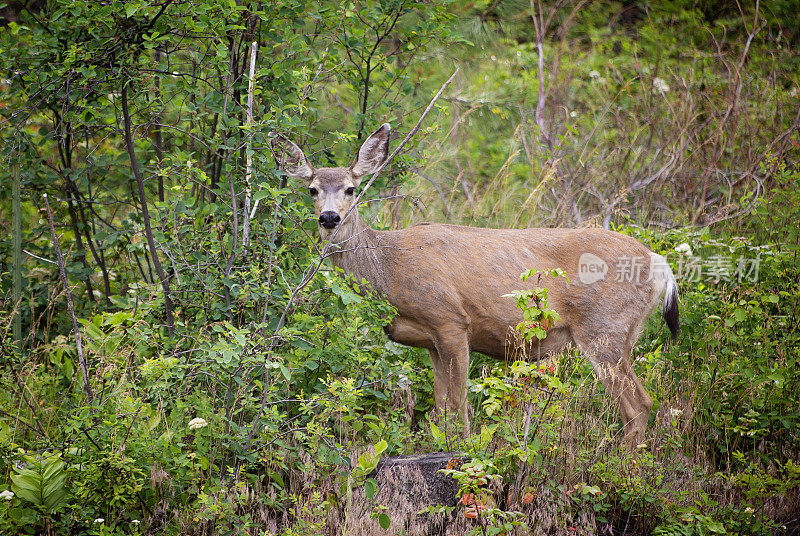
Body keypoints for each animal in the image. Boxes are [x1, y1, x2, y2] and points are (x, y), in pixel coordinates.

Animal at [272, 123, 680, 446]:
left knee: (638, 403)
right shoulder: (429, 340)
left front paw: (465, 453)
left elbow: (459, 407)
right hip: (622, 332)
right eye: (312, 189)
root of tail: (658, 263)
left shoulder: (450, 319)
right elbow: (441, 409)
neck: (388, 268)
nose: (329, 217)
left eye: (350, 188)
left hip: (603, 327)